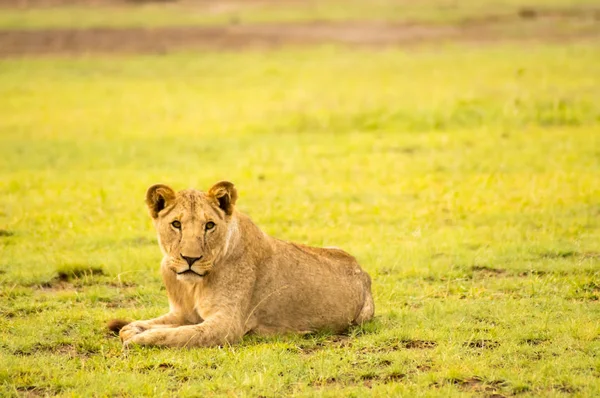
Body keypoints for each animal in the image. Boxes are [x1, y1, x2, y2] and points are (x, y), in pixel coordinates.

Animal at [114, 182, 372, 346]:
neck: (192, 286)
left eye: (209, 225)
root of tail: (363, 271)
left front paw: (140, 339)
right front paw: (135, 329)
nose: (190, 258)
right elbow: (145, 326)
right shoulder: (182, 313)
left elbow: (180, 335)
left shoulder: (227, 325)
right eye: (176, 224)